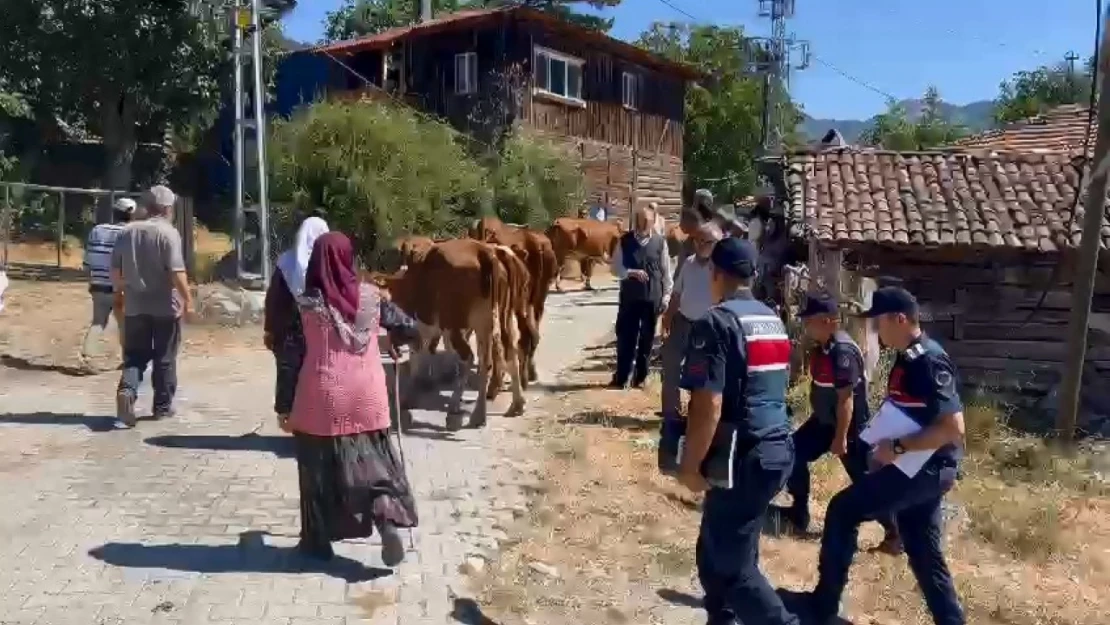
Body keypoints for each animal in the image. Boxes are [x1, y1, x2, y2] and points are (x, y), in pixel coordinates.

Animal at [377, 239, 523, 430]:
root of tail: (483, 250)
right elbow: (438, 352)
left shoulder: (422, 327)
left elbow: (418, 356)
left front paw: (409, 395)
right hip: (496, 320)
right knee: (502, 357)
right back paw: (508, 407)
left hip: (454, 323)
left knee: (469, 357)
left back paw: (456, 410)